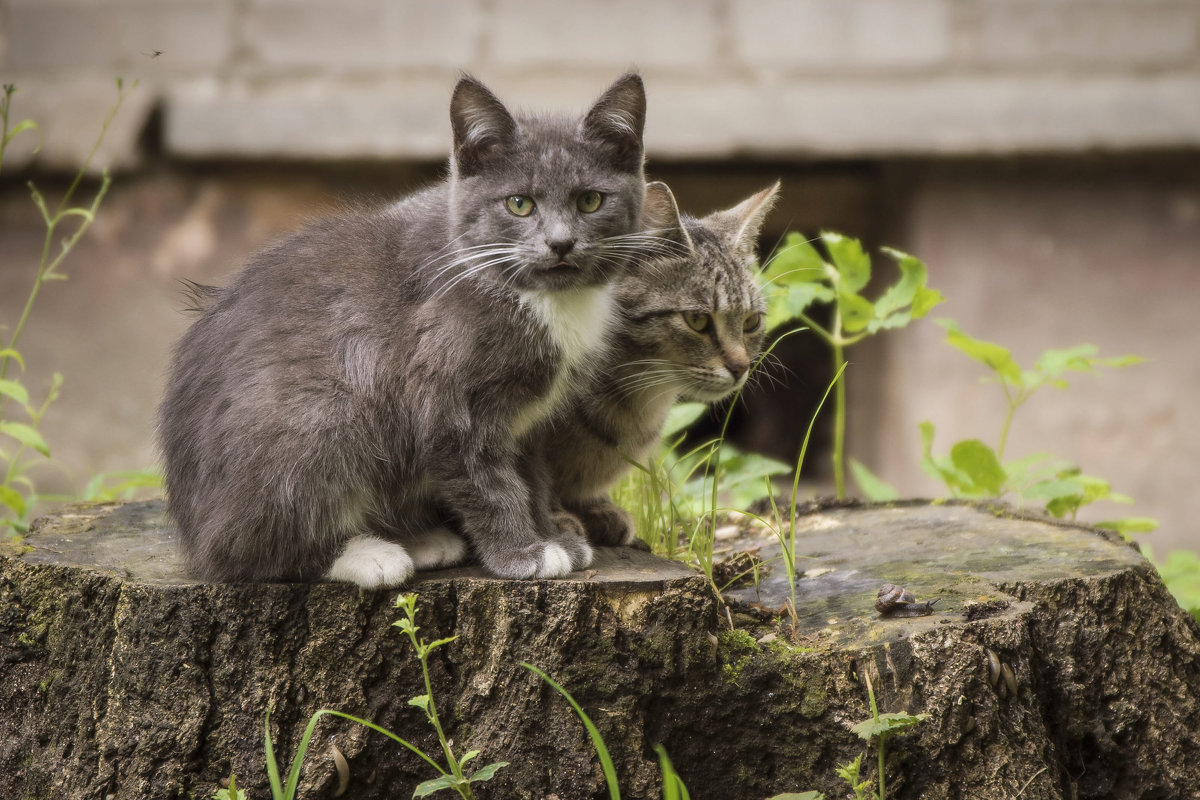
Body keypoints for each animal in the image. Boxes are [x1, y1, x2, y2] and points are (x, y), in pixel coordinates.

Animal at [160, 73, 652, 587]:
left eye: (590, 200)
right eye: (519, 204)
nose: (560, 243)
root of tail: (190, 526)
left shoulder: (528, 426)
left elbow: (531, 478)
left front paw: (550, 536)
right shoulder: (443, 397)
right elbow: (488, 482)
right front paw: (522, 552)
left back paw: (421, 539)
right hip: (322, 411)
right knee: (241, 551)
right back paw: (370, 556)